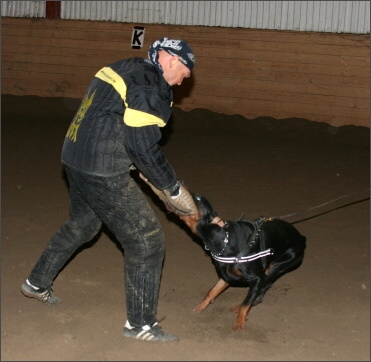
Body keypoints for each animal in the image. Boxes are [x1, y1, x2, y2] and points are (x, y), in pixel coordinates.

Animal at [179, 194, 306, 332]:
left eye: (197, 199)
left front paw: (239, 322)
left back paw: (240, 307)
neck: (225, 240)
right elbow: (212, 291)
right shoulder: (226, 276)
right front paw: (201, 307)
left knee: (260, 293)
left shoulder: (258, 278)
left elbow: (247, 302)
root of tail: (302, 238)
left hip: (276, 266)